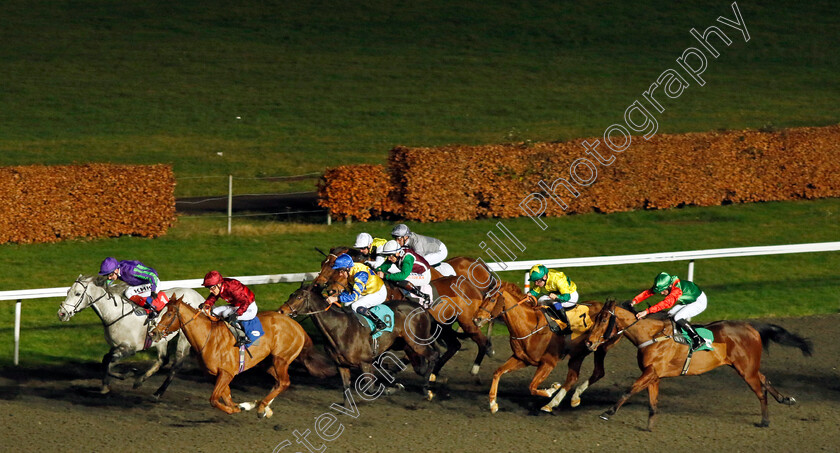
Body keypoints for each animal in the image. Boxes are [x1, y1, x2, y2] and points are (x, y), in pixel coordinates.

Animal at [57, 272, 203, 396]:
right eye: (68, 291)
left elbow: (108, 361)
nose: (61, 313)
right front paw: (106, 386)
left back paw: (159, 392)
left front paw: (128, 374)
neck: (115, 314)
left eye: (77, 293)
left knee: (177, 362)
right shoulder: (116, 346)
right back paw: (140, 381)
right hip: (160, 339)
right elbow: (106, 361)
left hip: (185, 336)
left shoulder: (130, 349)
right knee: (163, 359)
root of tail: (199, 297)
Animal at [151, 294, 334, 416]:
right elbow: (226, 397)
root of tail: (298, 327)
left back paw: (262, 407)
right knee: (278, 382)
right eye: (162, 312)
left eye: (169, 314)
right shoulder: (217, 375)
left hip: (281, 359)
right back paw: (264, 406)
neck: (208, 337)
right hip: (268, 363)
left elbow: (214, 399)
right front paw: (243, 405)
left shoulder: (227, 373)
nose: (154, 332)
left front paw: (239, 408)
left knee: (284, 382)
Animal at [280, 284, 440, 404]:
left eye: (299, 297)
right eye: (291, 294)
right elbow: (345, 388)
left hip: (417, 342)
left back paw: (426, 389)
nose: (281, 310)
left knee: (433, 355)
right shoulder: (342, 365)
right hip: (405, 344)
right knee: (422, 366)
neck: (339, 328)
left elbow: (371, 389)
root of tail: (422, 308)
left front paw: (395, 387)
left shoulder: (365, 363)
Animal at [472, 282, 624, 414]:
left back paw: (558, 400)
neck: (529, 326)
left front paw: (552, 389)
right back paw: (559, 402)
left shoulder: (548, 363)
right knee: (577, 376)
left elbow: (532, 387)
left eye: (492, 299)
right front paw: (493, 404)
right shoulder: (522, 359)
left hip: (596, 348)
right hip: (580, 352)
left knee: (591, 373)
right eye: (484, 297)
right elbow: (497, 372)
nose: (476, 319)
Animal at [584, 298, 812, 430]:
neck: (651, 335)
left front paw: (608, 412)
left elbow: (628, 390)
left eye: (603, 319)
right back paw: (785, 398)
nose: (589, 342)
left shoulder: (651, 372)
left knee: (760, 391)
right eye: (595, 318)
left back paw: (765, 421)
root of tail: (751, 327)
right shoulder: (654, 375)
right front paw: (649, 426)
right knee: (764, 378)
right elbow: (652, 402)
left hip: (746, 370)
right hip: (745, 366)